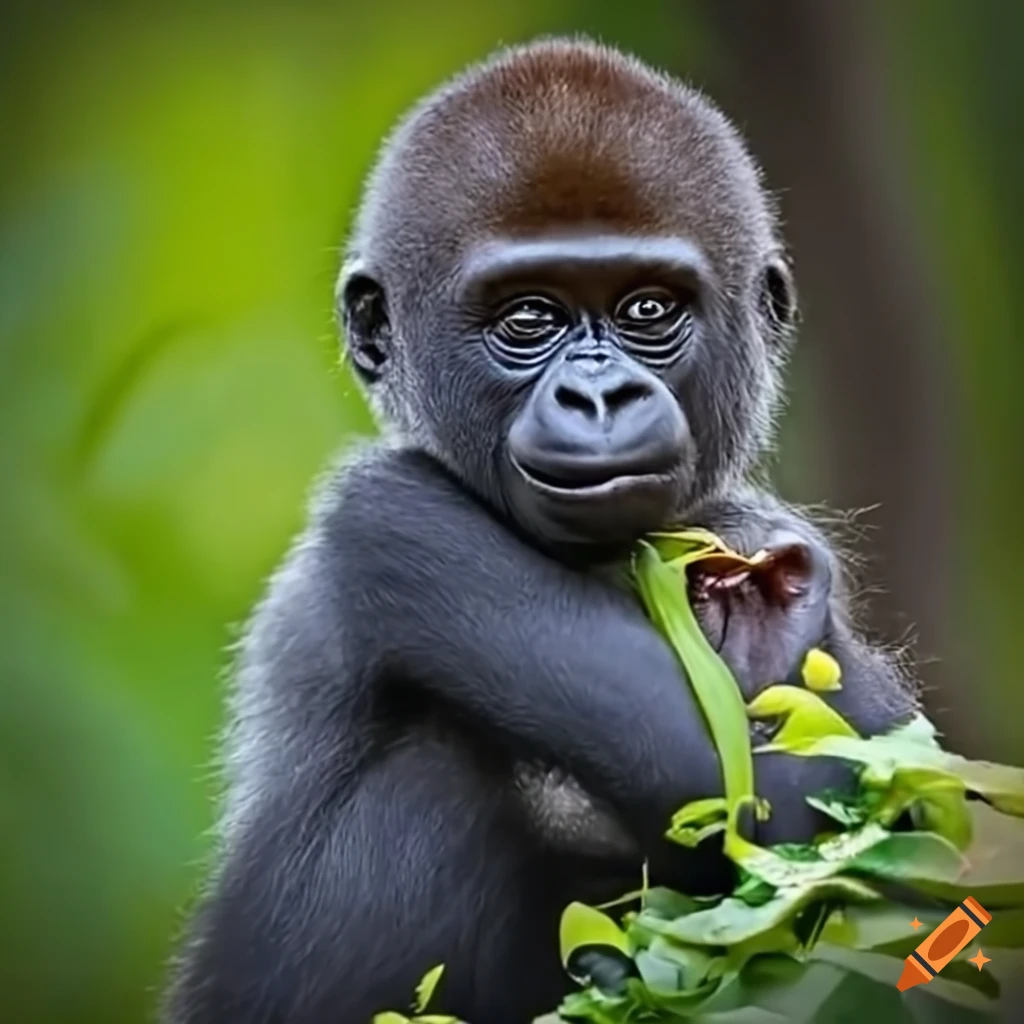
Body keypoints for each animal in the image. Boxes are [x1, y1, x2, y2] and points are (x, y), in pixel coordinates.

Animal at [162, 38, 917, 1024]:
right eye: (529, 318)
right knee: (437, 775)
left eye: (647, 310)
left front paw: (765, 620)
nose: (599, 397)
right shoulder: (386, 515)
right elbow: (771, 808)